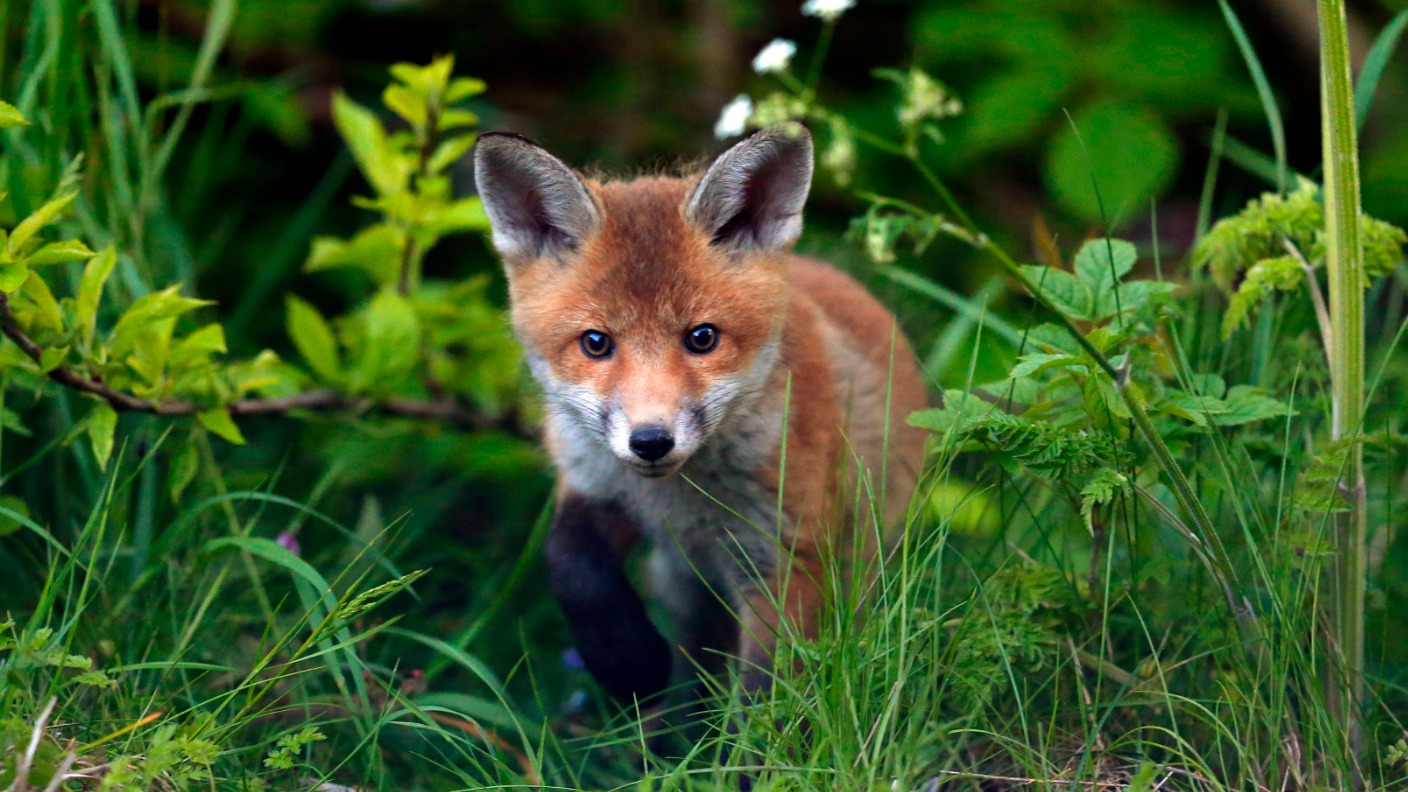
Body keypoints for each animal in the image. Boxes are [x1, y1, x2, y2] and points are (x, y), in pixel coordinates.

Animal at [472, 123, 928, 708]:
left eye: (702, 338)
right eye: (595, 343)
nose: (650, 441)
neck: (679, 501)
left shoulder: (787, 551)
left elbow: (765, 692)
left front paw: (751, 738)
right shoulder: (591, 482)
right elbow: (571, 566)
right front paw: (629, 663)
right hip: (683, 585)